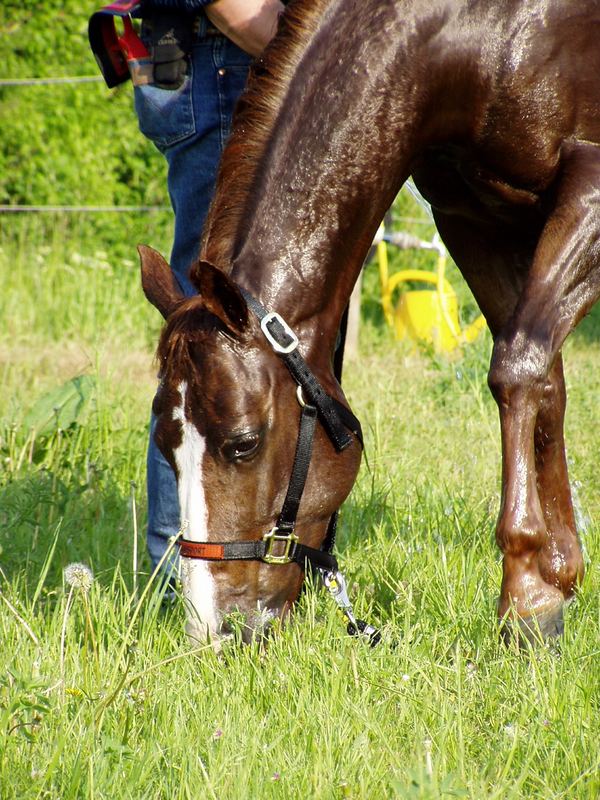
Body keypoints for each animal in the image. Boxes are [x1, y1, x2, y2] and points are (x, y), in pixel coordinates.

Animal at [137, 0, 600, 648]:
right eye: (164, 445)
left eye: (243, 444)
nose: (213, 630)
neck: (476, 36)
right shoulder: (470, 216)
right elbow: (545, 383)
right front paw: (557, 575)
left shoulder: (588, 184)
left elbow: (517, 369)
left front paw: (525, 596)